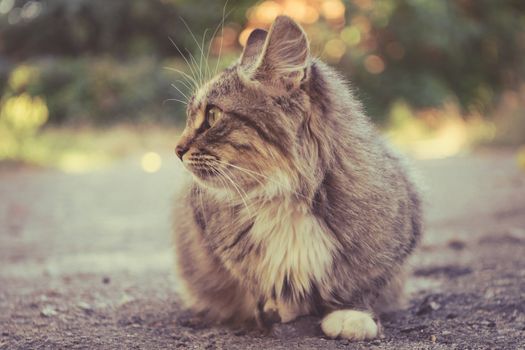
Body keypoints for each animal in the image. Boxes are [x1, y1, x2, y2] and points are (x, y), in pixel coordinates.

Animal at [172, 15, 422, 340]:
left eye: (212, 115)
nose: (176, 150)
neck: (284, 196)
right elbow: (266, 285)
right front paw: (279, 309)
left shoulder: (397, 237)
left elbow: (360, 284)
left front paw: (349, 315)